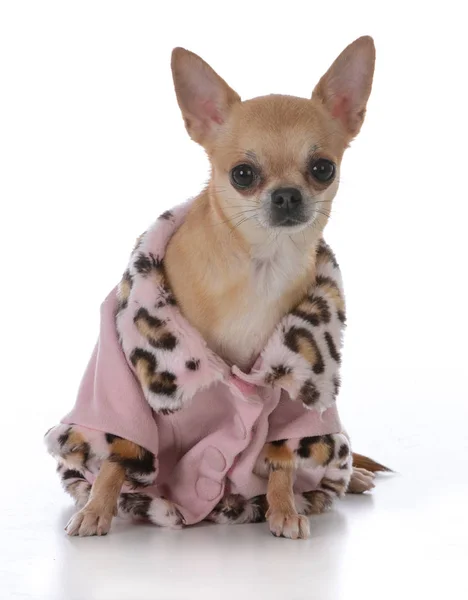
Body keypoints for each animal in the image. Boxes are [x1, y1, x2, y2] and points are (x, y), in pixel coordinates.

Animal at [44, 38, 388, 544]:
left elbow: (282, 457)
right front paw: (98, 508)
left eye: (322, 168)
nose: (287, 195)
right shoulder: (124, 381)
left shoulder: (292, 391)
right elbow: (118, 454)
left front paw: (282, 507)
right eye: (243, 174)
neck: (259, 266)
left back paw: (350, 478)